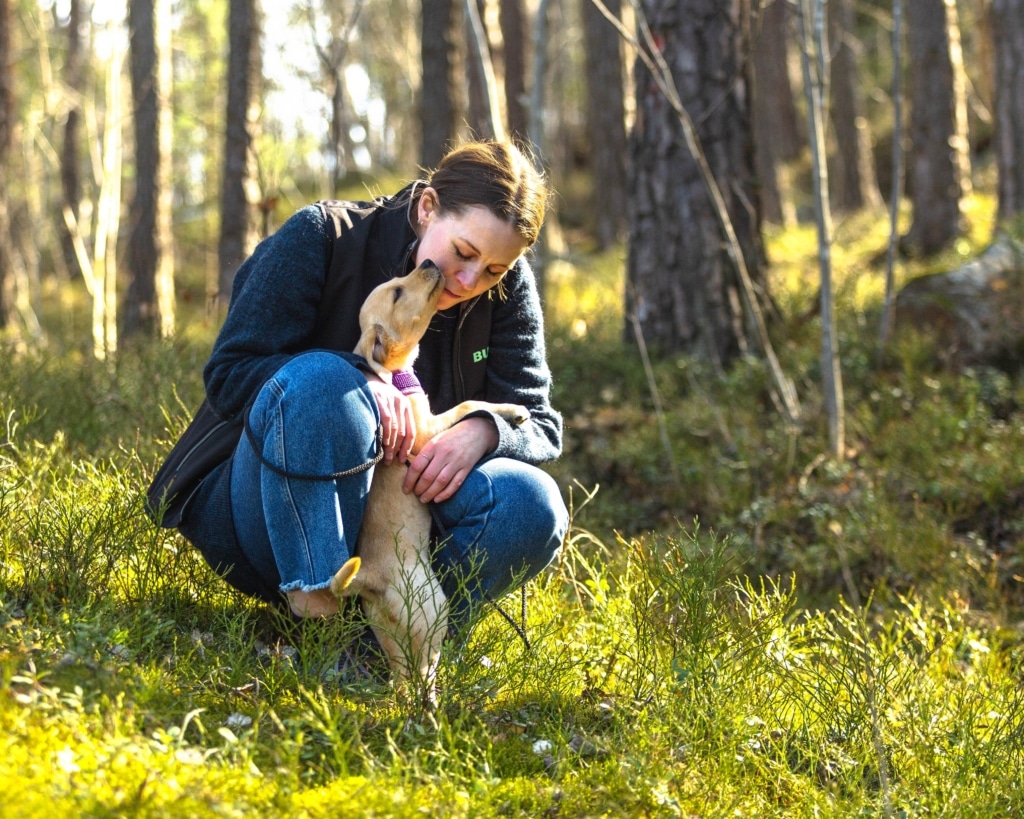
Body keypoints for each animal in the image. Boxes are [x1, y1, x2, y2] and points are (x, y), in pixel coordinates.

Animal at [329, 259, 528, 700]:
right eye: (398, 293)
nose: (429, 262)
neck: (394, 376)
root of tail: (370, 578)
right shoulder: (426, 434)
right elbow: (470, 404)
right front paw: (514, 411)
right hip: (433, 610)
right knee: (423, 670)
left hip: (389, 629)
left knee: (402, 680)